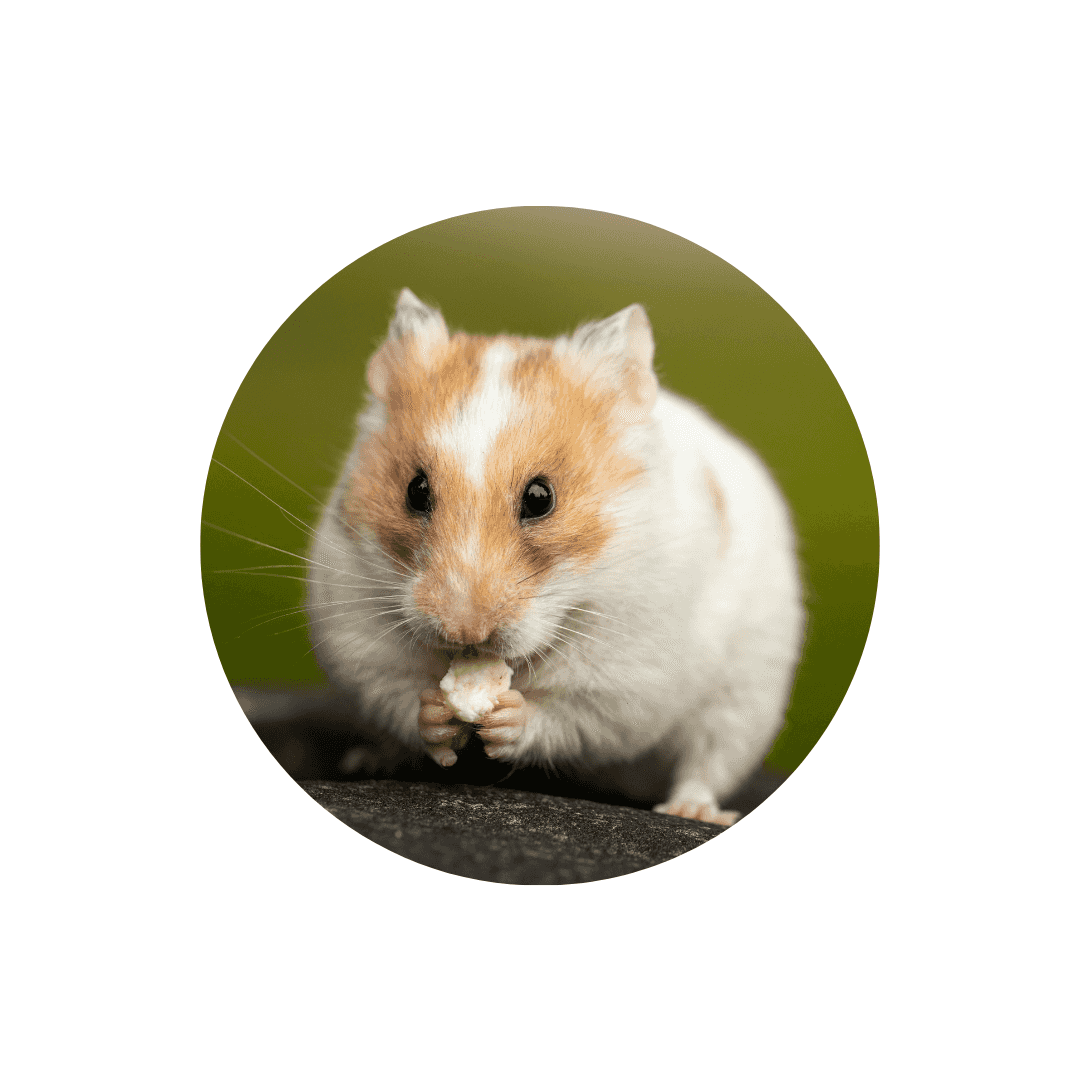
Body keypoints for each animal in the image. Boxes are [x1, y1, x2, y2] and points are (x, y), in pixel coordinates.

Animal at [306, 288, 805, 826]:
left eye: (541, 498)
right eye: (415, 491)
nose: (465, 633)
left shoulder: (624, 678)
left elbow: (566, 717)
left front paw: (506, 717)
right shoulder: (359, 637)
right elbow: (399, 695)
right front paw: (438, 713)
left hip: (745, 696)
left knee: (707, 761)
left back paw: (692, 811)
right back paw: (369, 760)